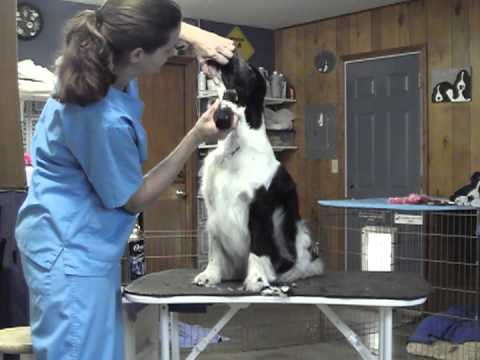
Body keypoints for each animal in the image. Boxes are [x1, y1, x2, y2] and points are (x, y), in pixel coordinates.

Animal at [193, 55, 324, 292]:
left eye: (241, 65)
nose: (227, 54)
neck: (234, 146)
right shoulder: (213, 209)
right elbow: (215, 249)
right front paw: (210, 276)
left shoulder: (259, 208)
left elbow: (258, 246)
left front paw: (257, 280)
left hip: (296, 231)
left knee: (305, 264)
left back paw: (288, 275)